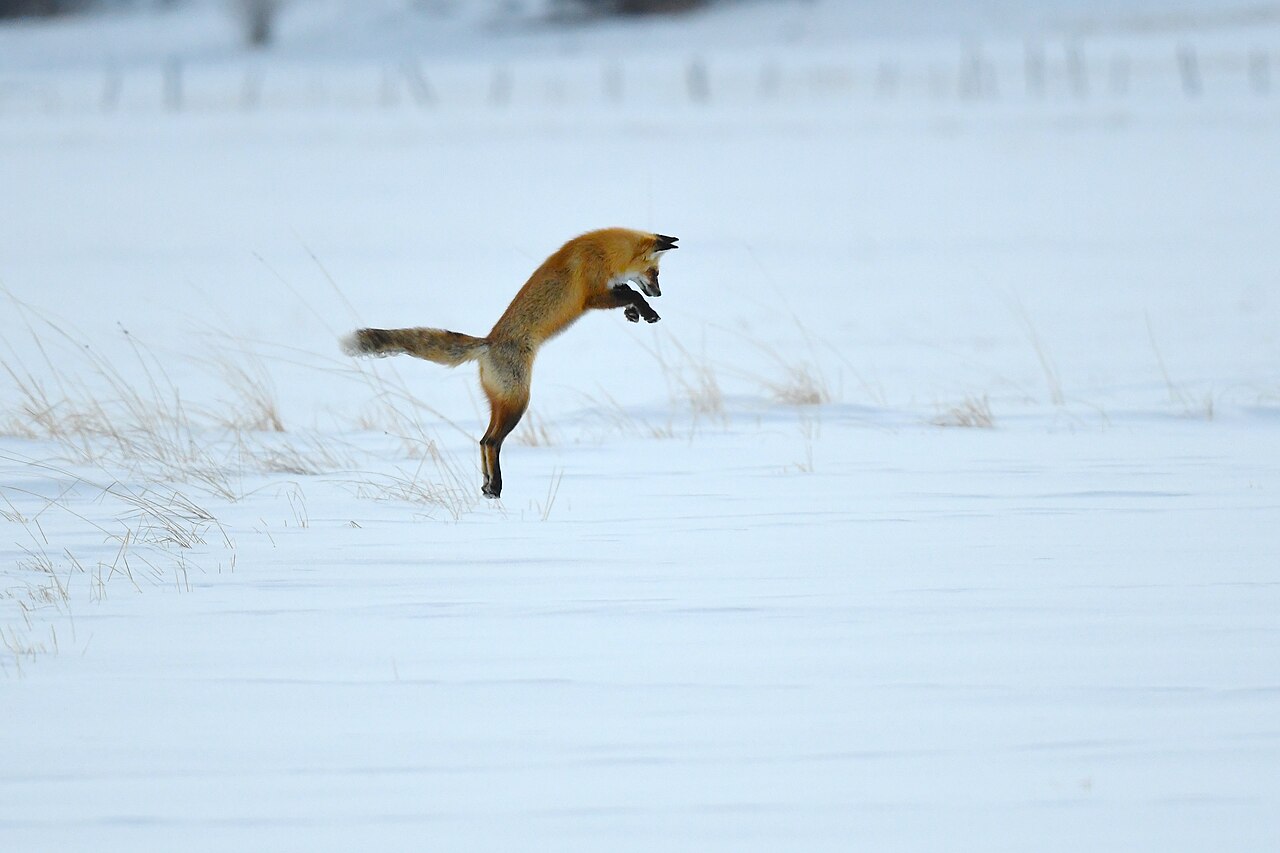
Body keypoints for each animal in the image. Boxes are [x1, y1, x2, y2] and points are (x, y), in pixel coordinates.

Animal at [342, 227, 678, 499]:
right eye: (656, 273)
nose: (660, 293)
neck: (604, 251)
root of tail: (487, 343)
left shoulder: (605, 291)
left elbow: (627, 292)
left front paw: (636, 314)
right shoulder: (592, 296)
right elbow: (630, 292)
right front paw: (646, 311)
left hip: (502, 401)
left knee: (482, 440)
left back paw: (487, 485)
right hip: (518, 401)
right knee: (491, 441)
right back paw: (496, 487)